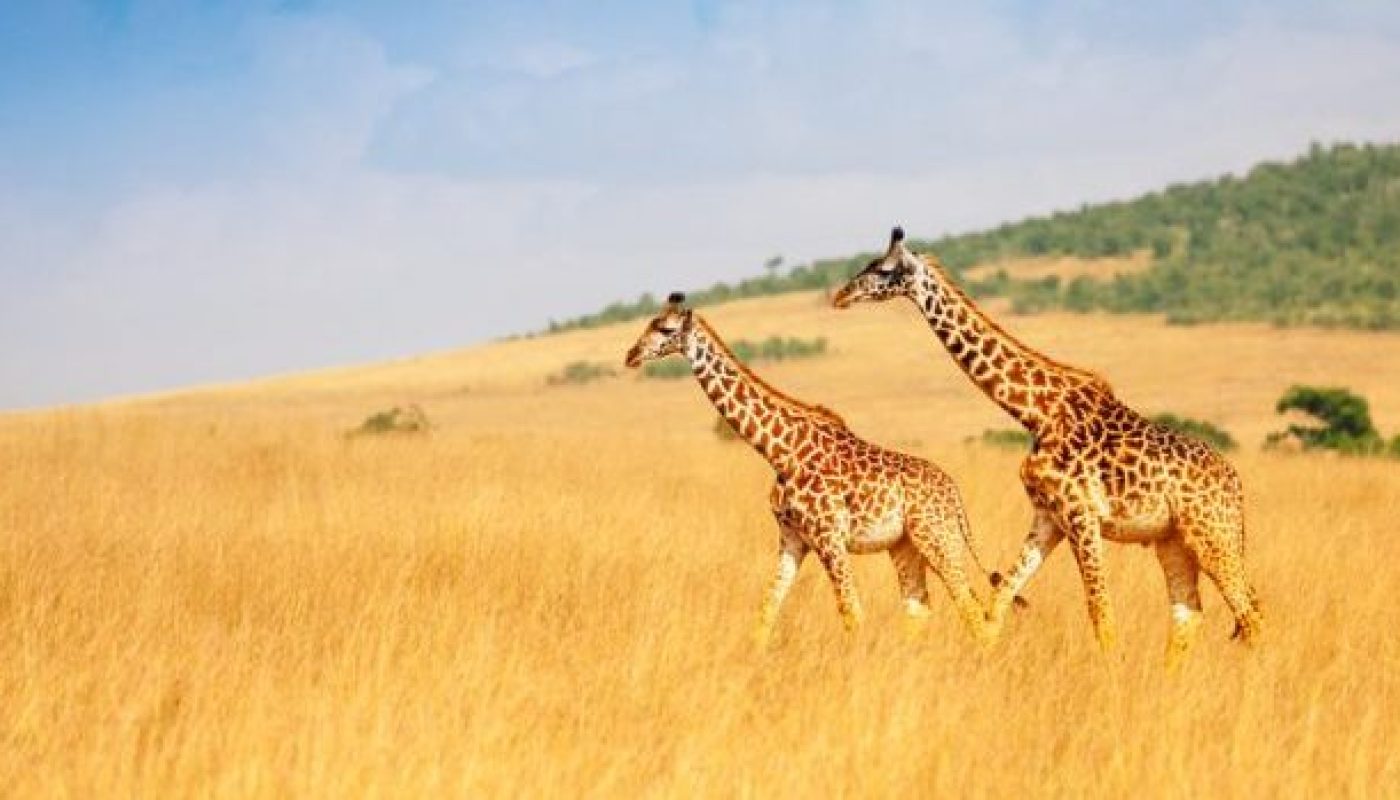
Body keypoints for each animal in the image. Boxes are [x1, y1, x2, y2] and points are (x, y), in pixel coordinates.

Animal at [625, 292, 1002, 645]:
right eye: (650, 322)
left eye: (666, 329)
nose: (631, 355)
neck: (779, 452)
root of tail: (955, 495)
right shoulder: (792, 538)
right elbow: (768, 608)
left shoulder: (829, 536)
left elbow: (851, 613)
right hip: (905, 546)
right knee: (920, 609)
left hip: (937, 537)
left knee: (972, 609)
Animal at [831, 228, 1263, 669]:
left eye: (884, 269)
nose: (841, 295)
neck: (1035, 412)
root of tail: (1236, 487)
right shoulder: (1048, 516)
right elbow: (1001, 596)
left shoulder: (1080, 513)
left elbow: (1100, 610)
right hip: (1173, 540)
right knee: (1190, 612)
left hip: (1212, 533)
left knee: (1250, 610)